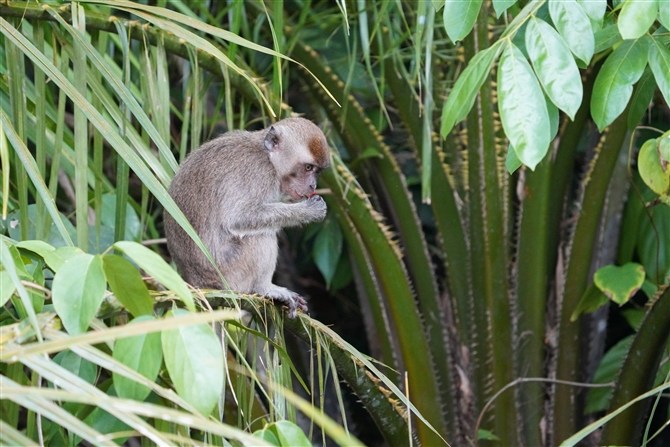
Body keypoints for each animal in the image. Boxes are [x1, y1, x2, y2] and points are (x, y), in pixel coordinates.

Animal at [163, 117, 330, 316]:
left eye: (317, 171)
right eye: (308, 167)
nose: (313, 186)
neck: (267, 157)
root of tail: (200, 284)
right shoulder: (259, 173)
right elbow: (238, 219)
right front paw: (309, 210)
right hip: (230, 274)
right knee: (260, 235)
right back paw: (264, 288)